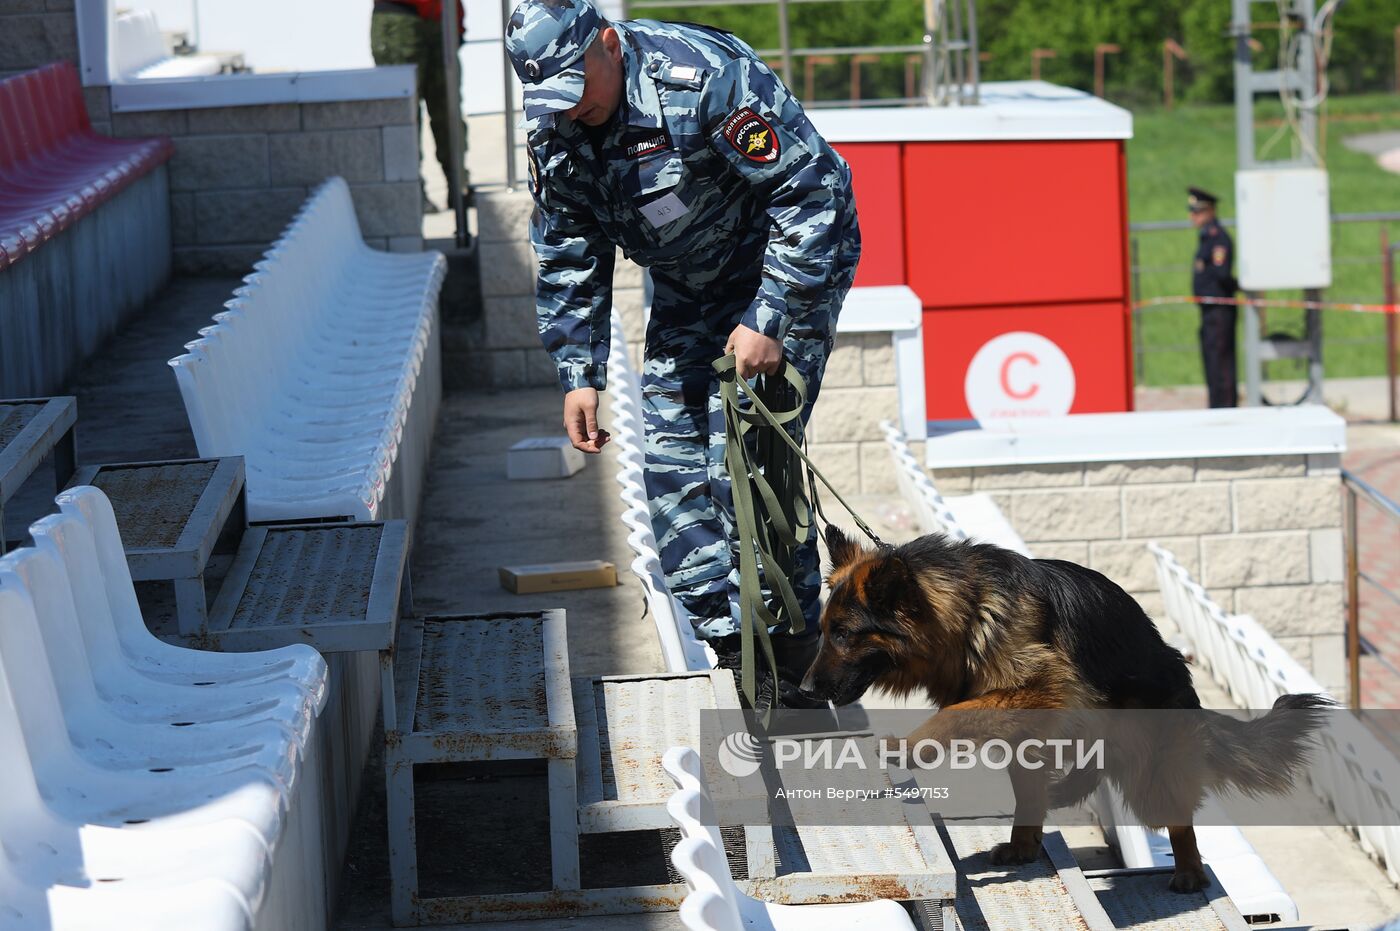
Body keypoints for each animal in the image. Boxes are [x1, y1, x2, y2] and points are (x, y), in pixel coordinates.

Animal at [795, 526, 1327, 890]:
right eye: (824, 631)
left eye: (843, 634)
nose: (803, 688)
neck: (969, 609)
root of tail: (1185, 682)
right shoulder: (1022, 720)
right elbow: (1016, 780)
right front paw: (1022, 844)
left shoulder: (1045, 689)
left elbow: (956, 714)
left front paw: (907, 748)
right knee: (1069, 779)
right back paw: (1040, 821)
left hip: (1149, 774)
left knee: (1175, 816)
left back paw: (1190, 871)